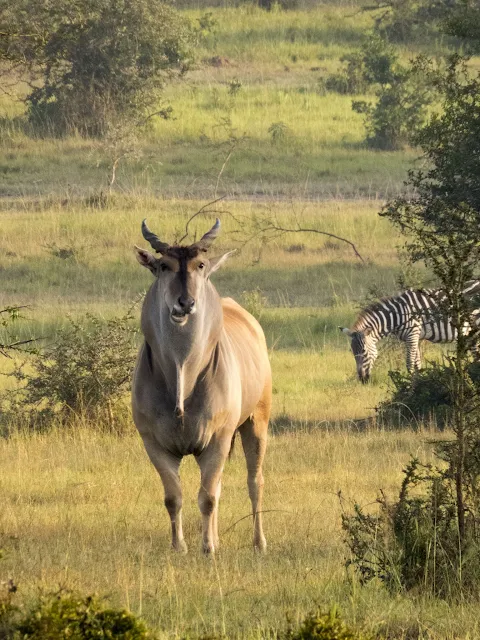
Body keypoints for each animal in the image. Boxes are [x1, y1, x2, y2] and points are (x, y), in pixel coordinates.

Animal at [340, 282, 480, 382]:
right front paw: (420, 381)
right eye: (352, 352)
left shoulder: (412, 335)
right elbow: (417, 363)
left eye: (364, 351)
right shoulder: (416, 337)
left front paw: (410, 387)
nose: (362, 379)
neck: (397, 316)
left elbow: (409, 363)